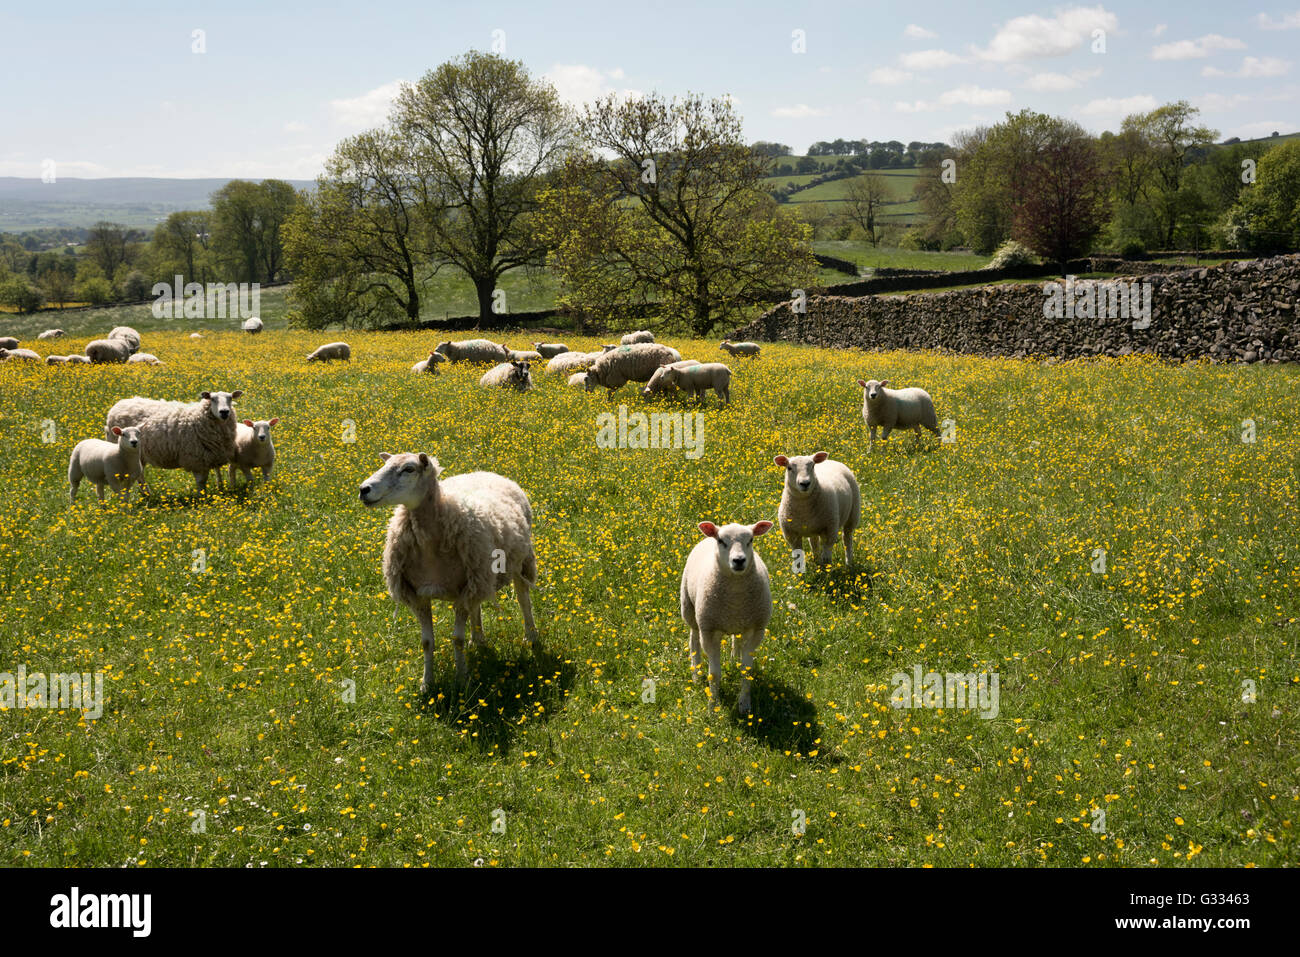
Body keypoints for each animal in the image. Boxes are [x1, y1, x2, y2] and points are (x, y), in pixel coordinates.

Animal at [104, 390, 244, 494]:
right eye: (212, 399)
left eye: (230, 398)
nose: (224, 412)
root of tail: (119, 404)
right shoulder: (196, 458)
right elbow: (201, 481)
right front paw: (202, 497)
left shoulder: (213, 454)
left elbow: (217, 472)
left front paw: (220, 489)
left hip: (138, 454)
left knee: (140, 473)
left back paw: (147, 494)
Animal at [358, 449, 540, 686]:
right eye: (384, 465)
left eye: (409, 469)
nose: (363, 489)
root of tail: (483, 471)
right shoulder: (420, 594)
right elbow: (427, 642)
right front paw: (427, 683)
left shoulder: (462, 588)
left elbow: (457, 639)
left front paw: (461, 679)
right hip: (478, 576)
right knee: (476, 606)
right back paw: (478, 639)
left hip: (519, 562)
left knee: (523, 599)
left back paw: (531, 636)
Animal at [681, 520, 769, 712]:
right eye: (721, 541)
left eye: (750, 540)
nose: (739, 560)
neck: (735, 597)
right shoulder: (709, 631)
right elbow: (714, 674)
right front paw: (713, 706)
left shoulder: (756, 630)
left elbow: (746, 671)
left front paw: (744, 705)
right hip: (690, 609)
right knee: (693, 639)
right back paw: (696, 673)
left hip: (739, 622)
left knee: (737, 639)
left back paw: (734, 659)